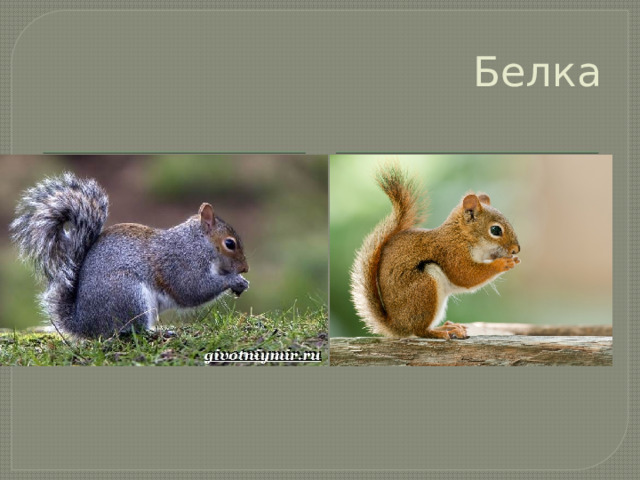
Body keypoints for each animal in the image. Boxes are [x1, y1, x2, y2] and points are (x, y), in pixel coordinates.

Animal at [10, 172, 249, 339]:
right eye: (229, 244)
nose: (245, 269)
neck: (198, 243)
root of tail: (84, 324)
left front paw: (241, 281)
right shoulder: (182, 263)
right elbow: (192, 290)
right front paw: (233, 280)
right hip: (129, 295)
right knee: (128, 331)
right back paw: (158, 333)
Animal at [350, 164, 520, 340]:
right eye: (495, 230)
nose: (516, 249)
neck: (462, 236)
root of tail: (398, 325)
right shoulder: (451, 252)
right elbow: (465, 275)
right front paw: (502, 263)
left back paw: (449, 327)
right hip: (425, 286)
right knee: (420, 331)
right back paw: (441, 332)